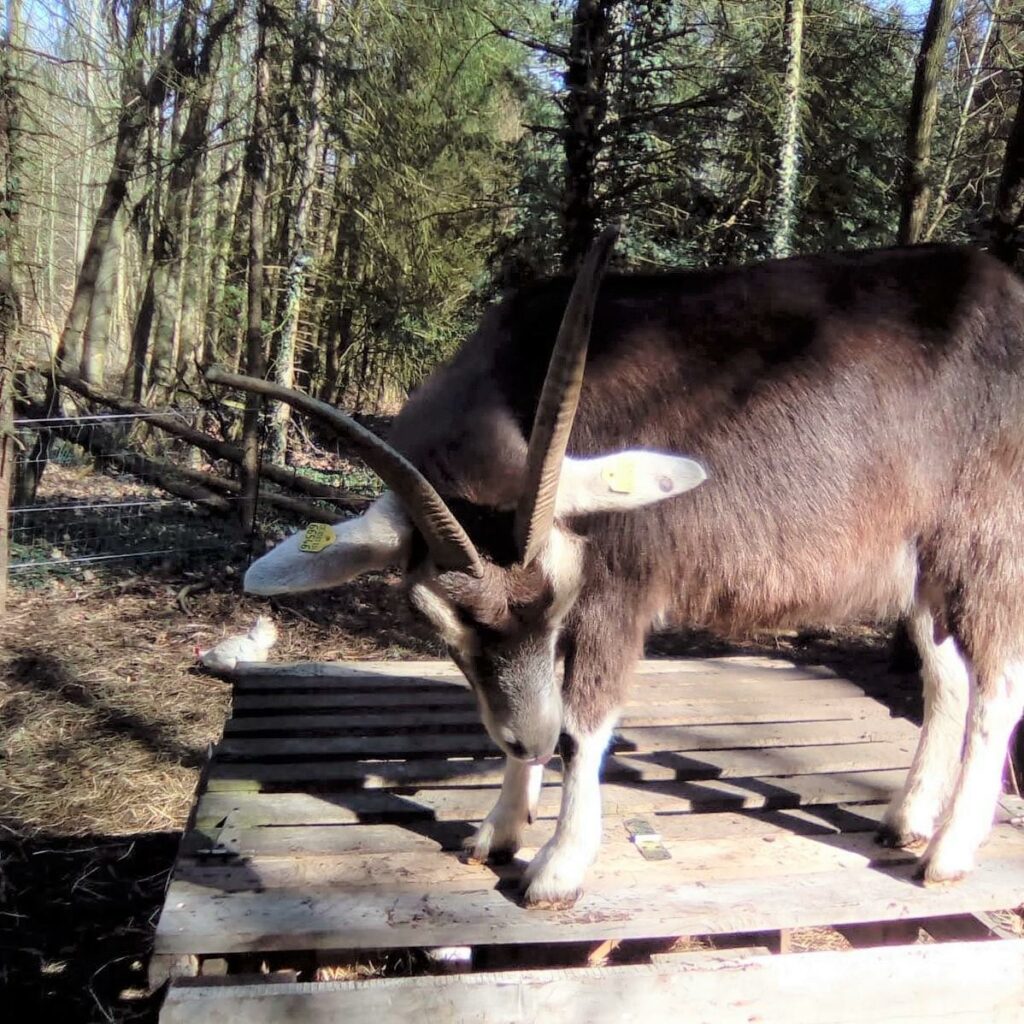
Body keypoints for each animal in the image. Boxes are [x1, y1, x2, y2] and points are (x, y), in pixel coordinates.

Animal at [214, 228, 1024, 909]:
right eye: (437, 622)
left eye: (555, 600)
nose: (531, 741)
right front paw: (500, 826)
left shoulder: (616, 593)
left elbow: (586, 720)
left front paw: (557, 866)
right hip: (922, 566)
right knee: (947, 678)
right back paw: (907, 817)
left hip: (989, 543)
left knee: (997, 687)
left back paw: (948, 852)